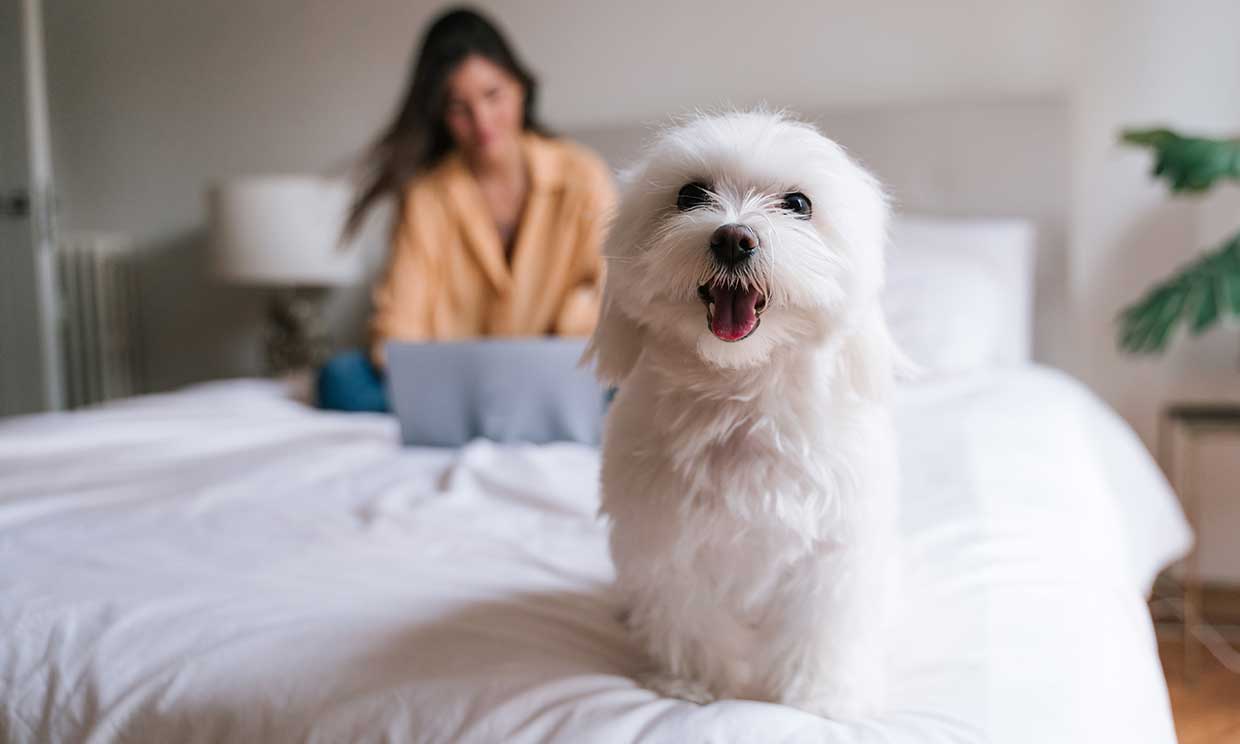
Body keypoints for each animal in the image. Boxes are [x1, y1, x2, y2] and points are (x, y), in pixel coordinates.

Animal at [585, 110, 897, 719]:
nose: (733, 237)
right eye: (690, 195)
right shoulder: (665, 542)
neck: (741, 395)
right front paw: (695, 685)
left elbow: (818, 628)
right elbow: (689, 618)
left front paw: (816, 697)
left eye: (798, 203)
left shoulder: (831, 551)